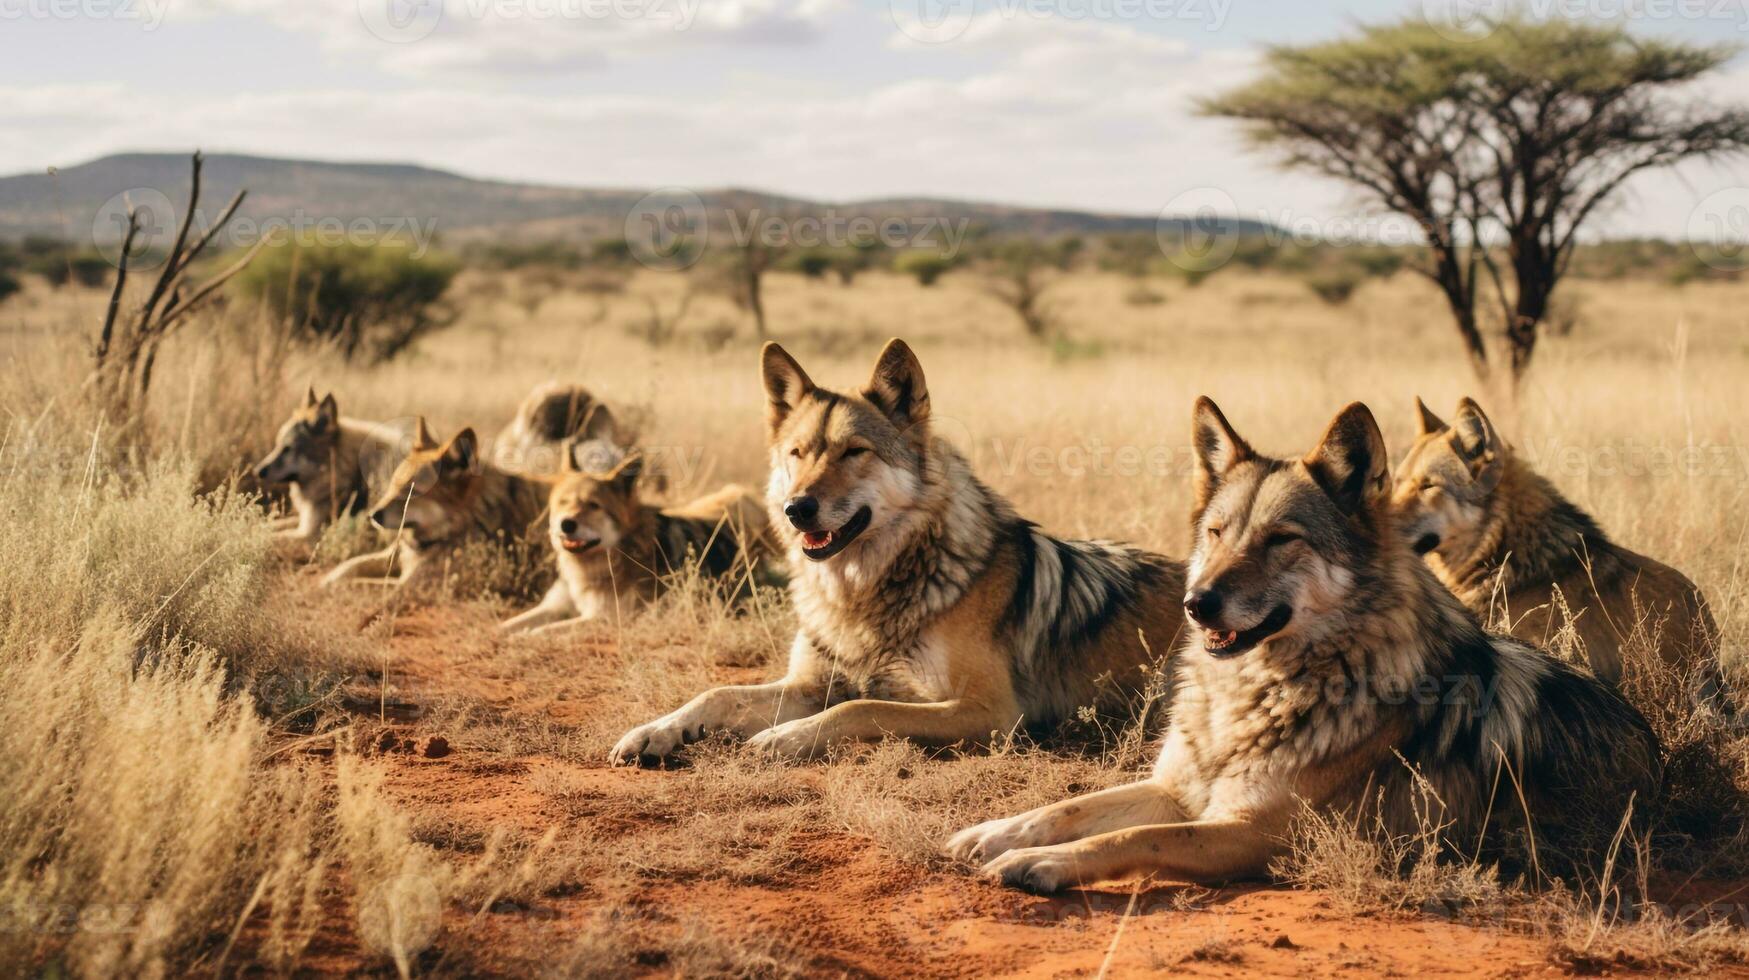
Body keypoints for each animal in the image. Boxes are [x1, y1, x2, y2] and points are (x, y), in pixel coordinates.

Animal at [255, 386, 404, 542]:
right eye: (278, 445)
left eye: (288, 448)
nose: (257, 471)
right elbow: (268, 525)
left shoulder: (309, 532)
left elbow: (270, 536)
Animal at [321, 413, 552, 598]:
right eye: (394, 484)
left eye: (411, 491)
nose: (372, 515)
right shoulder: (394, 554)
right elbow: (347, 567)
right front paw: (326, 579)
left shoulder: (411, 584)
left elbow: (356, 583)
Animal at [507, 451, 780, 637]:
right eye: (563, 502)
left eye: (594, 505)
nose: (566, 524)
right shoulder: (554, 606)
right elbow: (508, 624)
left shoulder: (606, 618)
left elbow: (540, 631)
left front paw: (521, 639)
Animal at [605, 339, 1189, 766]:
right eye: (798, 453)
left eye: (853, 452)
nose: (797, 509)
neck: (859, 596)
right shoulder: (808, 683)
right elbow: (718, 693)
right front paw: (653, 732)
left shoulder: (991, 711)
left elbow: (859, 709)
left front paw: (782, 739)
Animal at [951, 400, 1658, 896]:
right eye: (1217, 533)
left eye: (1281, 539)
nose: (1196, 603)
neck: (1253, 694)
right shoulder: (1177, 790)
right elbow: (1068, 807)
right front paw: (993, 834)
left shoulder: (1252, 833)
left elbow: (1132, 839)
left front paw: (1039, 862)